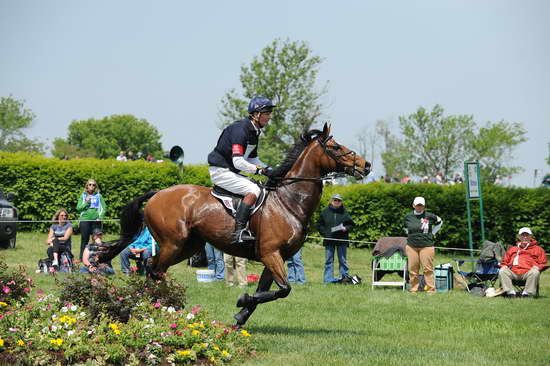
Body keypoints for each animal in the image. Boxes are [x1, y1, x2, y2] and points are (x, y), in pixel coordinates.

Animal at [101, 123, 374, 326]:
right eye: (336, 147)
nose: (367, 165)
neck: (289, 201)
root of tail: (157, 193)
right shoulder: (270, 254)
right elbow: (283, 289)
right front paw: (242, 300)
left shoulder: (275, 257)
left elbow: (268, 291)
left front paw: (241, 314)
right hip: (173, 243)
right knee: (155, 269)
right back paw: (163, 305)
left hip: (188, 246)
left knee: (151, 266)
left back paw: (153, 304)